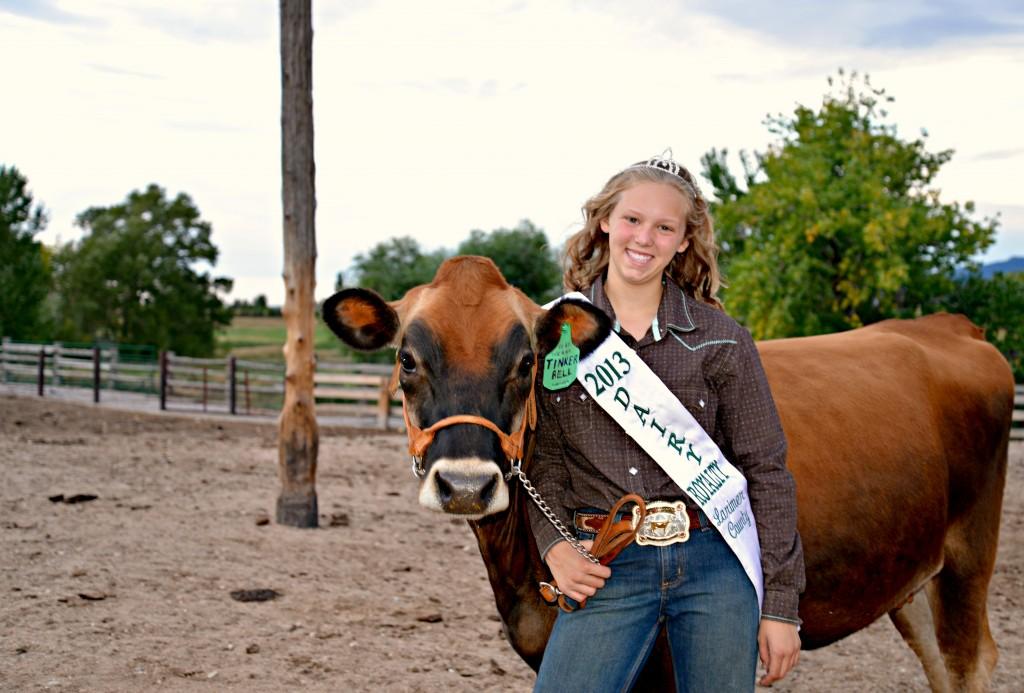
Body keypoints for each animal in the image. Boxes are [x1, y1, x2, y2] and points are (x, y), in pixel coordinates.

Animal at [323, 256, 1011, 687]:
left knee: (968, 662)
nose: (466, 485)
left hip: (969, 557)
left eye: (525, 361)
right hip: (910, 576)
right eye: (407, 360)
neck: (520, 572)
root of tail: (947, 324)